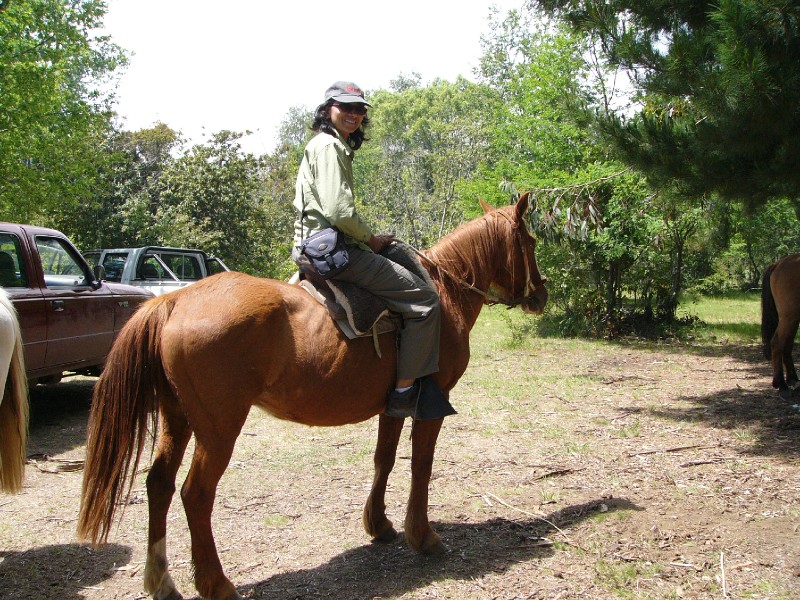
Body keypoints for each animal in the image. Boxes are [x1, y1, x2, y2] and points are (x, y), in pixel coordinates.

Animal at [77, 195, 548, 600]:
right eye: (530, 242)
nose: (541, 294)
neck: (444, 292)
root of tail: (174, 300)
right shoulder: (432, 405)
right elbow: (421, 466)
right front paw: (423, 535)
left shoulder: (395, 405)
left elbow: (384, 459)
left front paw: (379, 524)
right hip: (218, 428)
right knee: (196, 494)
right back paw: (216, 583)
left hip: (177, 417)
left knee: (159, 484)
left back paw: (162, 580)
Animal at [761, 253, 800, 399]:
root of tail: (778, 263)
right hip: (789, 316)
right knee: (777, 343)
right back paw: (781, 384)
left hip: (793, 318)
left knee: (787, 345)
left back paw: (793, 379)